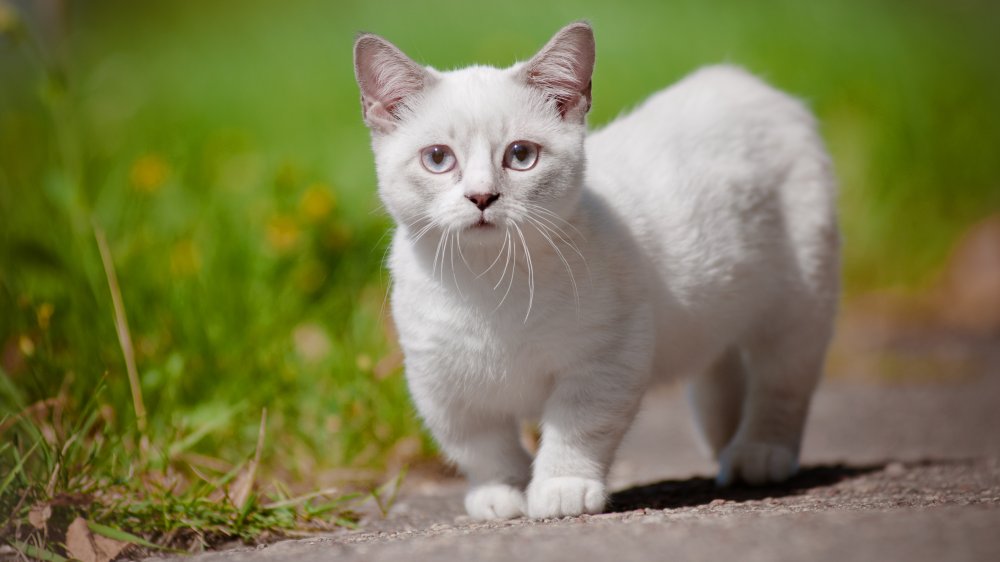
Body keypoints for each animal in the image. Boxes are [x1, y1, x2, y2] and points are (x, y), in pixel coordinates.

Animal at [352, 23, 836, 520]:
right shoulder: (441, 382)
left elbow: (577, 429)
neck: (489, 284)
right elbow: (481, 446)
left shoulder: (605, 358)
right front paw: (500, 493)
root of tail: (741, 80)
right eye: (437, 158)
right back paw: (725, 450)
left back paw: (758, 453)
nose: (482, 197)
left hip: (799, 302)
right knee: (720, 374)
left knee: (781, 383)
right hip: (718, 314)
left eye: (520, 155)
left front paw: (561, 488)